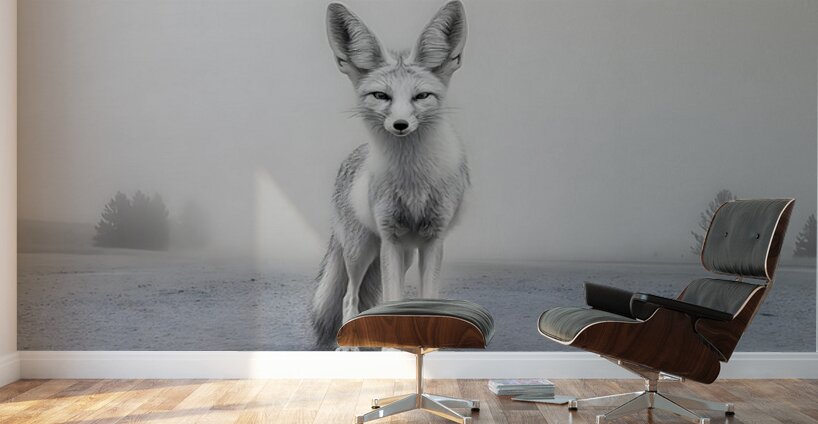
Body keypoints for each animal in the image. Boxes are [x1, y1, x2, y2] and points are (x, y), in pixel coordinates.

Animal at [310, 1, 470, 349]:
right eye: (381, 96)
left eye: (421, 96)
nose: (400, 125)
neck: (413, 182)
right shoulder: (390, 238)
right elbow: (389, 301)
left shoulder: (432, 240)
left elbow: (426, 302)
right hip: (361, 251)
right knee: (350, 297)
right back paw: (349, 344)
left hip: (405, 253)